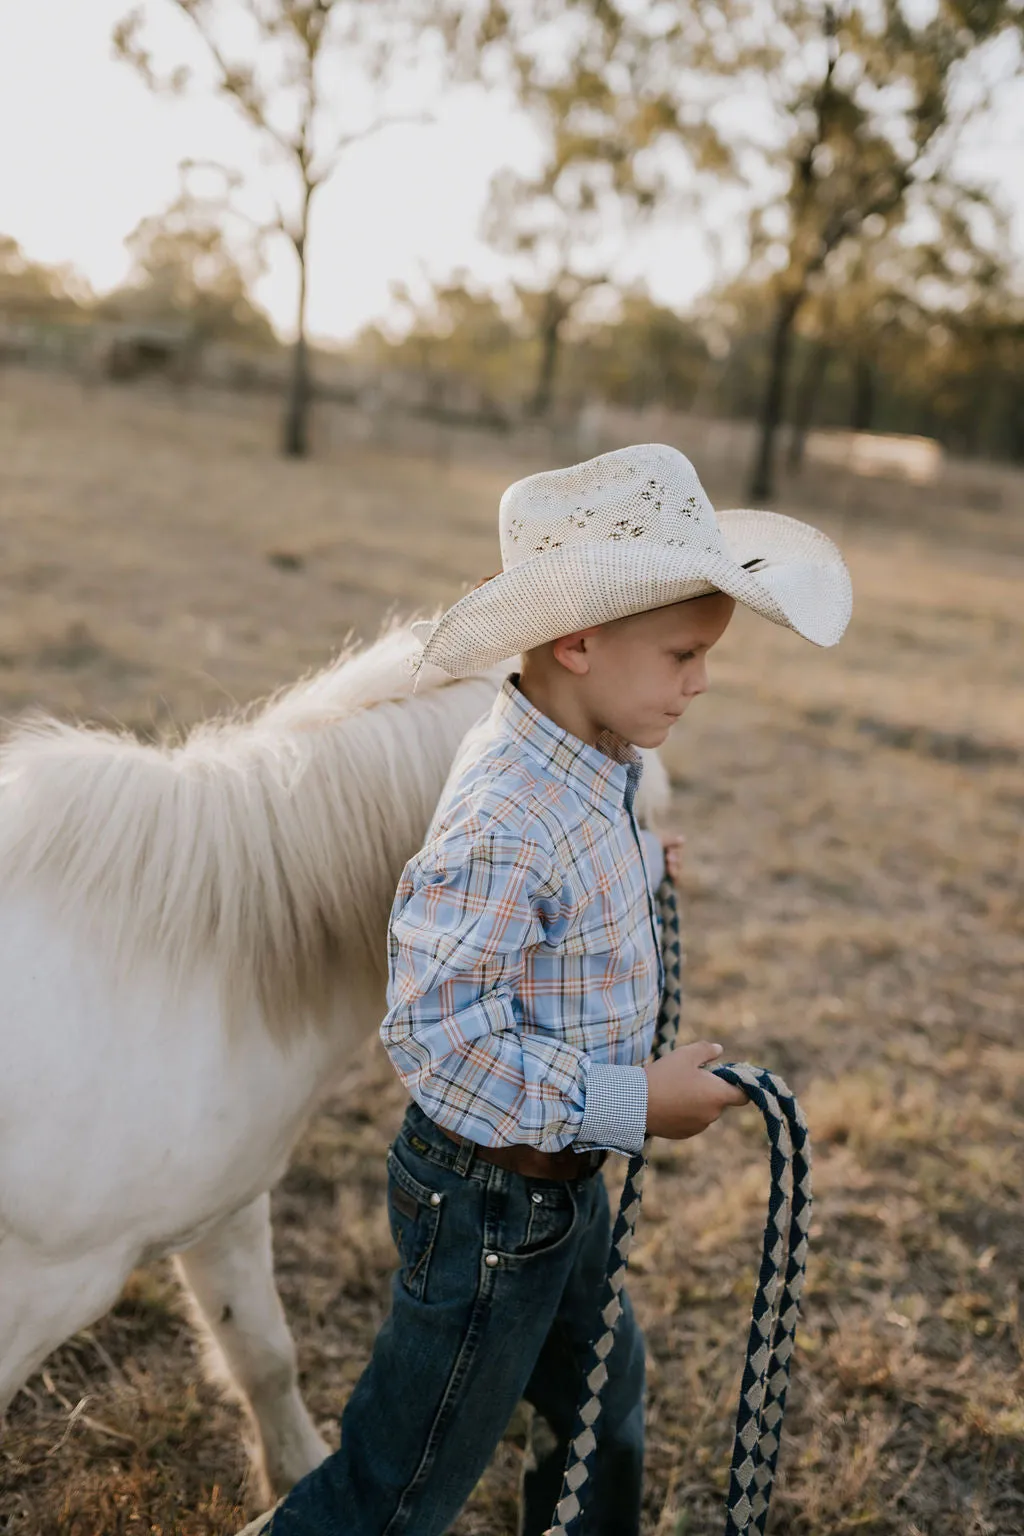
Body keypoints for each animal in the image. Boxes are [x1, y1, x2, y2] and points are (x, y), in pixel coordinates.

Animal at [0, 620, 672, 1499]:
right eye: (636, 808)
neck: (175, 968)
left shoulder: (221, 1214)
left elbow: (261, 1352)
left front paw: (288, 1474)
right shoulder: (30, 1298)